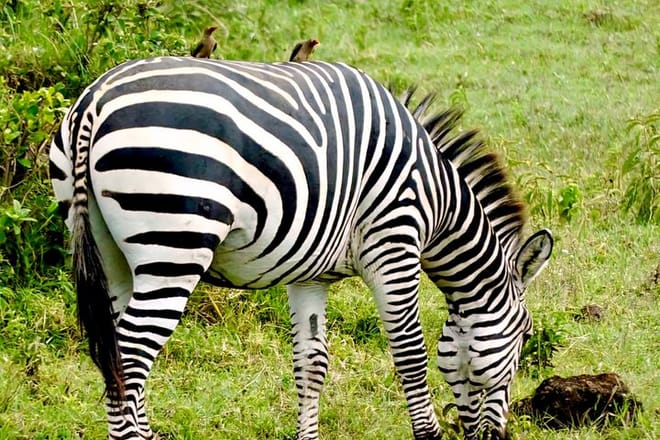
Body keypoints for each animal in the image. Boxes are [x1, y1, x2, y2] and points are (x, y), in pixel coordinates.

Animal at [49, 56, 553, 440]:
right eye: (526, 335)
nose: (500, 436)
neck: (438, 200)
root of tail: (95, 100)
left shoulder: (310, 273)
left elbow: (312, 362)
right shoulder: (394, 243)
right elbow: (410, 353)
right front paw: (427, 433)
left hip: (110, 251)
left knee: (116, 354)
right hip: (175, 245)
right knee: (132, 355)